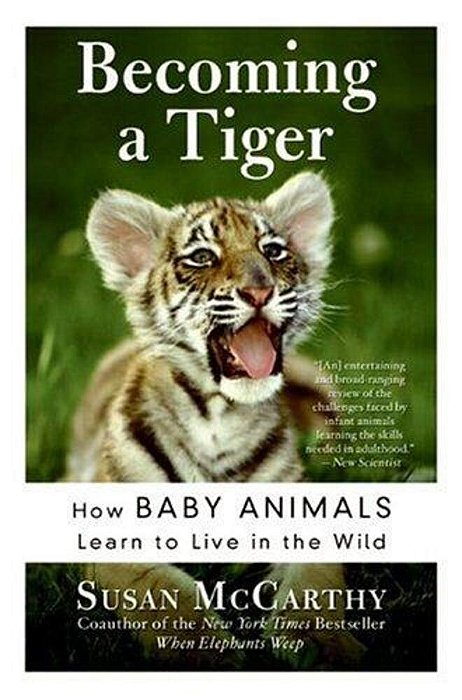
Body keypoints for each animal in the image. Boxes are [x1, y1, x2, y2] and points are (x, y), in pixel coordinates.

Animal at [65, 171, 365, 669]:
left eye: (273, 251)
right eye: (202, 257)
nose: (260, 291)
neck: (219, 417)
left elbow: (314, 588)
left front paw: (321, 647)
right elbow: (168, 595)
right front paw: (205, 653)